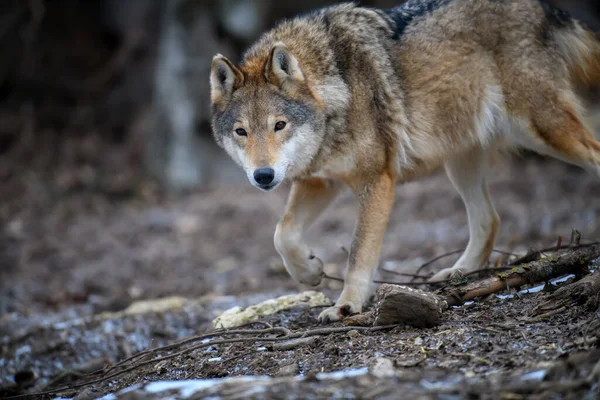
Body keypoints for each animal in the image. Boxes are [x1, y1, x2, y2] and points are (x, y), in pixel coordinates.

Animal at [210, 0, 600, 324]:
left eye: (279, 125)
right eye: (242, 131)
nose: (263, 176)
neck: (336, 87)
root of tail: (545, 7)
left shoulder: (376, 180)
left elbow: (359, 253)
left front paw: (347, 304)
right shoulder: (319, 181)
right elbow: (282, 233)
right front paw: (309, 270)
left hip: (545, 132)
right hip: (461, 163)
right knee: (490, 220)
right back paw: (457, 274)